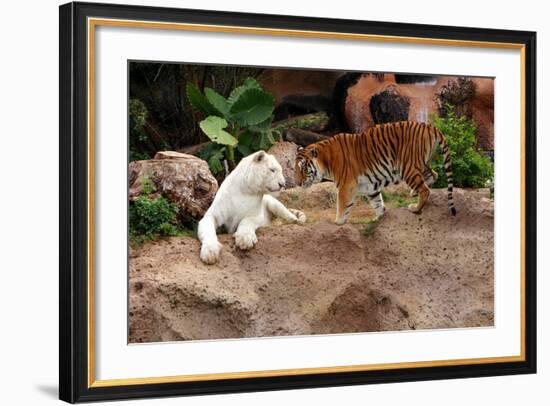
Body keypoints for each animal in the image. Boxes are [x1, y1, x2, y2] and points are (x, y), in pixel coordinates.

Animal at [298, 119, 458, 225]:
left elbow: (342, 206)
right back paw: (414, 192)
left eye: (303, 168)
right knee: (433, 175)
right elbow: (377, 202)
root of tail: (429, 126)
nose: (298, 183)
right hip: (421, 164)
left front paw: (337, 222)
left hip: (407, 167)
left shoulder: (346, 186)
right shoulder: (369, 186)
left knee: (425, 190)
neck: (326, 160)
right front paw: (379, 218)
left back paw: (415, 208)